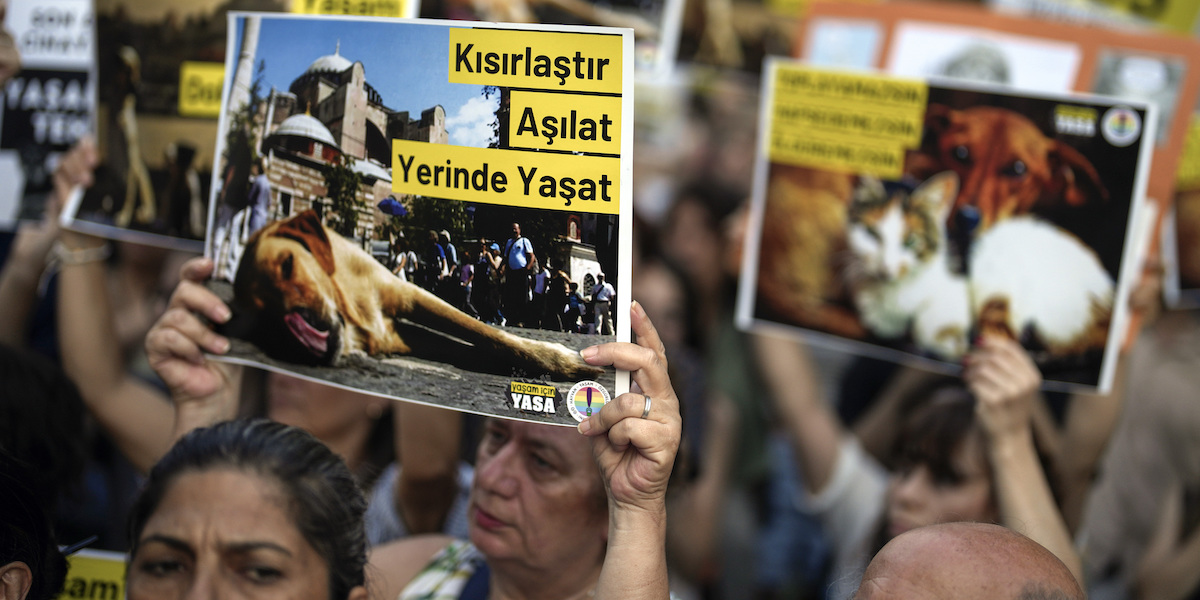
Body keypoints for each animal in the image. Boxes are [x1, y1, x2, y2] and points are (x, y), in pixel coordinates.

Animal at [226, 211, 600, 379]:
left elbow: (486, 333)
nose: (305, 337)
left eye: (288, 265)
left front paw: (562, 359)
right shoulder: (399, 337)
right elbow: (473, 345)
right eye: (263, 320)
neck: (349, 304)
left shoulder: (410, 293)